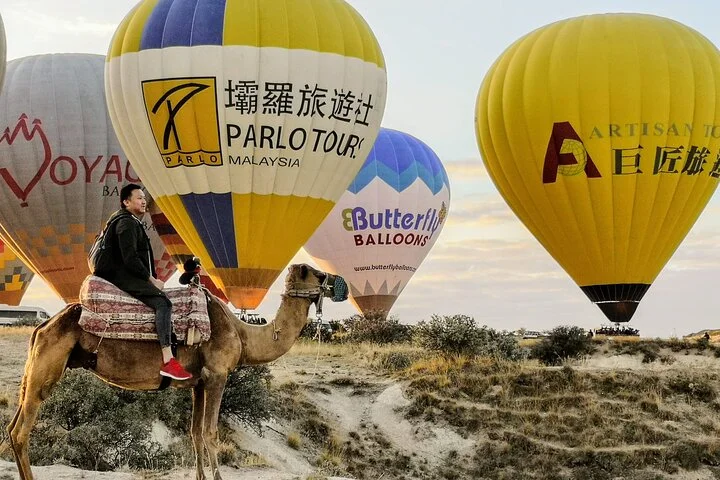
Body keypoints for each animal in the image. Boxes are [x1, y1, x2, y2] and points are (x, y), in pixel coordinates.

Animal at [7, 263, 342, 480]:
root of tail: (42, 326)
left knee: (12, 427)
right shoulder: (218, 375)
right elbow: (210, 433)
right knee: (22, 431)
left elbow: (194, 433)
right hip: (46, 368)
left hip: (34, 368)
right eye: (319, 274)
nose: (338, 283)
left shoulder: (199, 382)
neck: (242, 334)